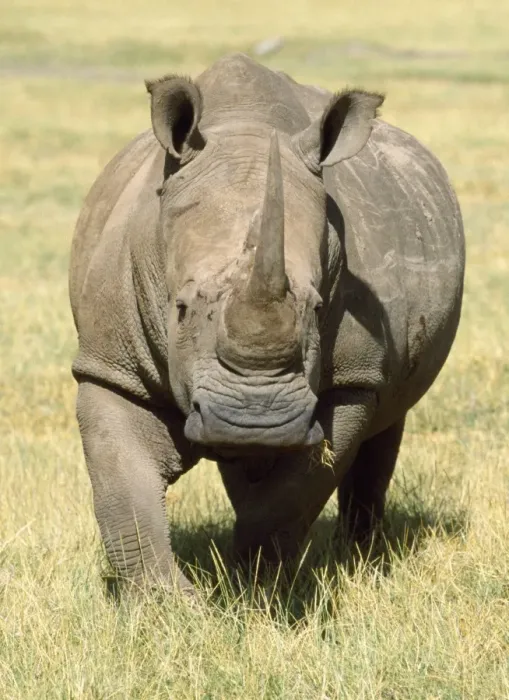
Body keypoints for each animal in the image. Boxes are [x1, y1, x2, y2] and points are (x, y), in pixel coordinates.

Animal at [69, 53, 465, 593]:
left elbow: (292, 495)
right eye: (180, 309)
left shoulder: (351, 380)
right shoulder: (110, 364)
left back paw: (359, 557)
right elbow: (122, 489)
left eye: (318, 310)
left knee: (388, 420)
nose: (255, 422)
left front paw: (253, 585)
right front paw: (168, 604)